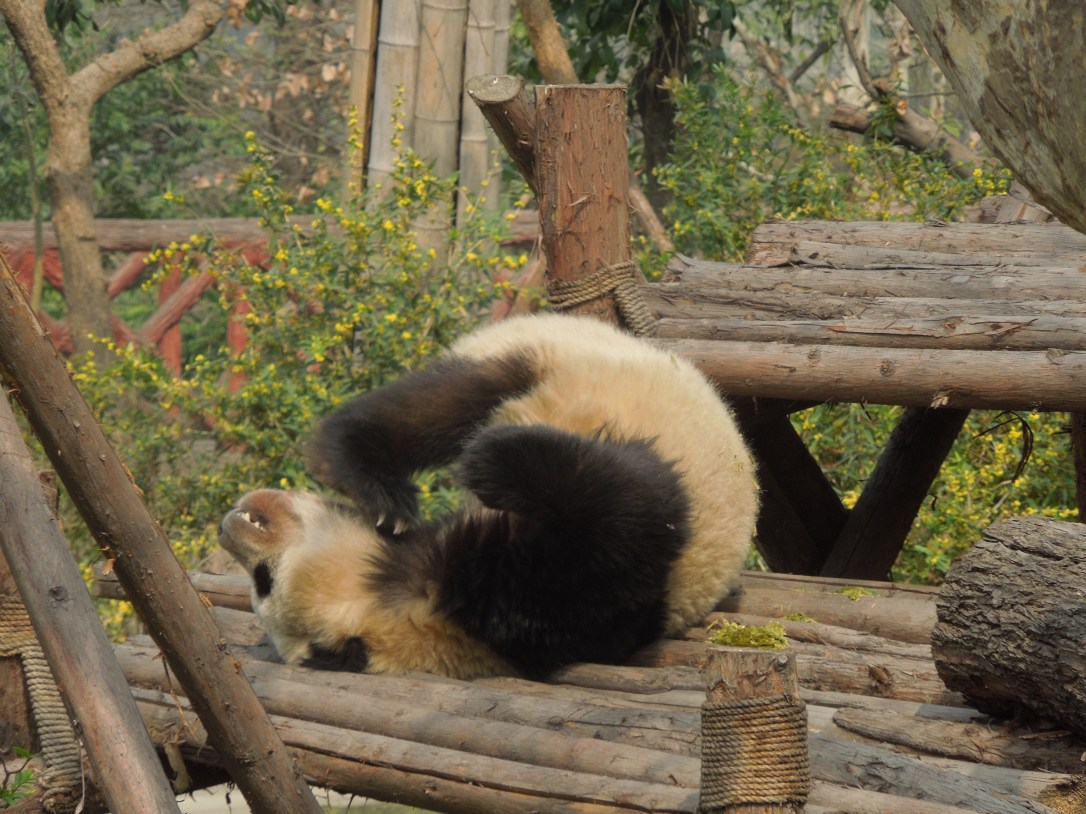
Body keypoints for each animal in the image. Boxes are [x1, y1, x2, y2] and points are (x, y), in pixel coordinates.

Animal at [218, 312, 758, 680]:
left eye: (260, 580)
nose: (229, 527)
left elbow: (634, 501)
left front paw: (481, 461)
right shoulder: (573, 592)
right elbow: (629, 510)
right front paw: (488, 462)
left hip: (552, 355)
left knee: (457, 399)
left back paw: (374, 486)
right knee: (442, 401)